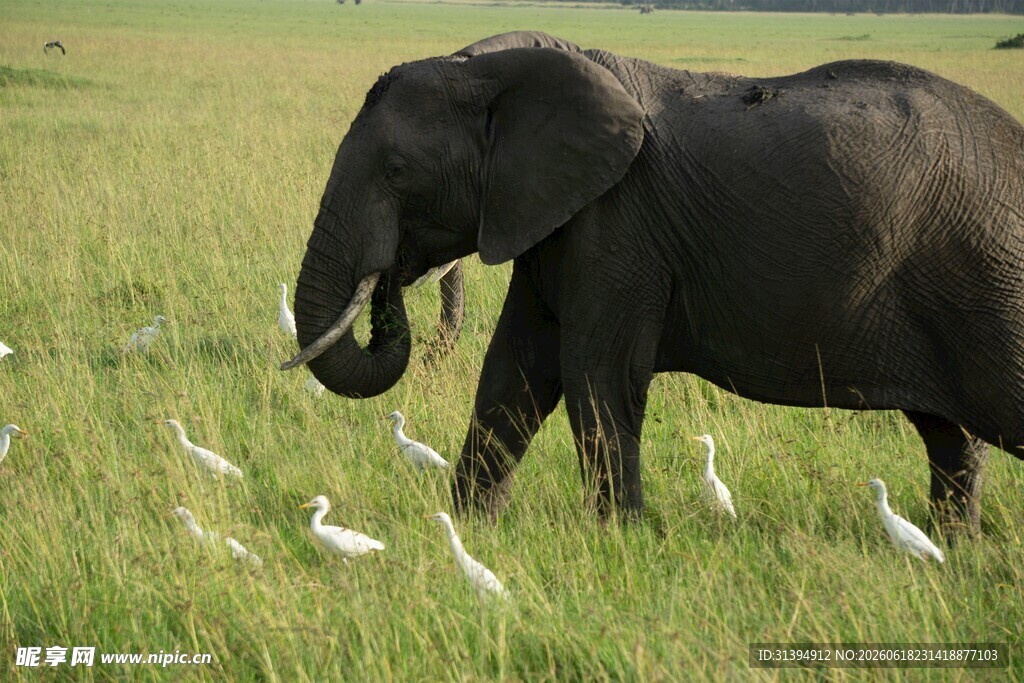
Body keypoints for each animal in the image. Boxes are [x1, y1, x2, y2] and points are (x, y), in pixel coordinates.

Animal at [283, 31, 1024, 533]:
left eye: (397, 171)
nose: (388, 279)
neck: (497, 64)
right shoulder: (558, 218)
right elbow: (513, 372)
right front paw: (469, 528)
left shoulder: (619, 223)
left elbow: (593, 374)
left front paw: (622, 537)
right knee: (951, 439)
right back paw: (952, 550)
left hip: (992, 278)